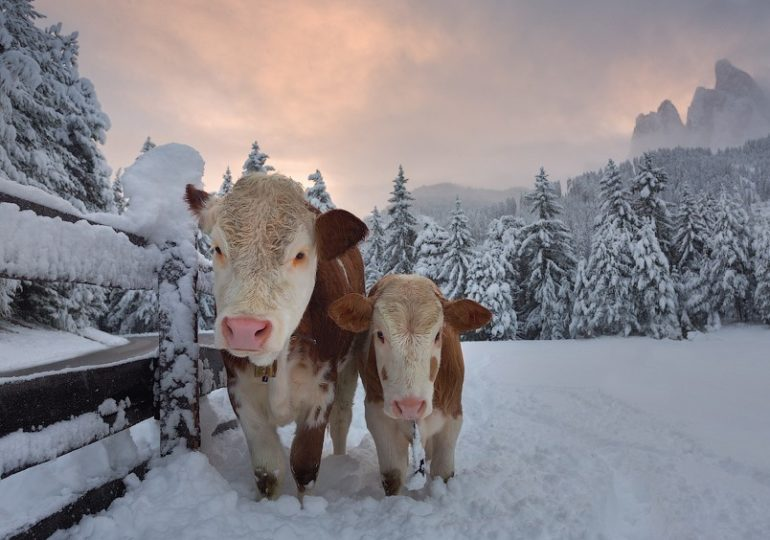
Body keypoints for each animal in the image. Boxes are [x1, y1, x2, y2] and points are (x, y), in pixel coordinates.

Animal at [185, 173, 366, 498]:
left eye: (300, 254)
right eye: (218, 248)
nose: (245, 329)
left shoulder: (322, 389)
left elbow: (304, 466)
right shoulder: (240, 390)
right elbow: (268, 470)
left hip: (350, 366)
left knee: (342, 419)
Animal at [328, 276, 488, 496]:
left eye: (438, 335)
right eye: (380, 334)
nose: (409, 405)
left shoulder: (452, 417)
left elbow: (443, 472)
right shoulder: (378, 417)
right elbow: (393, 475)